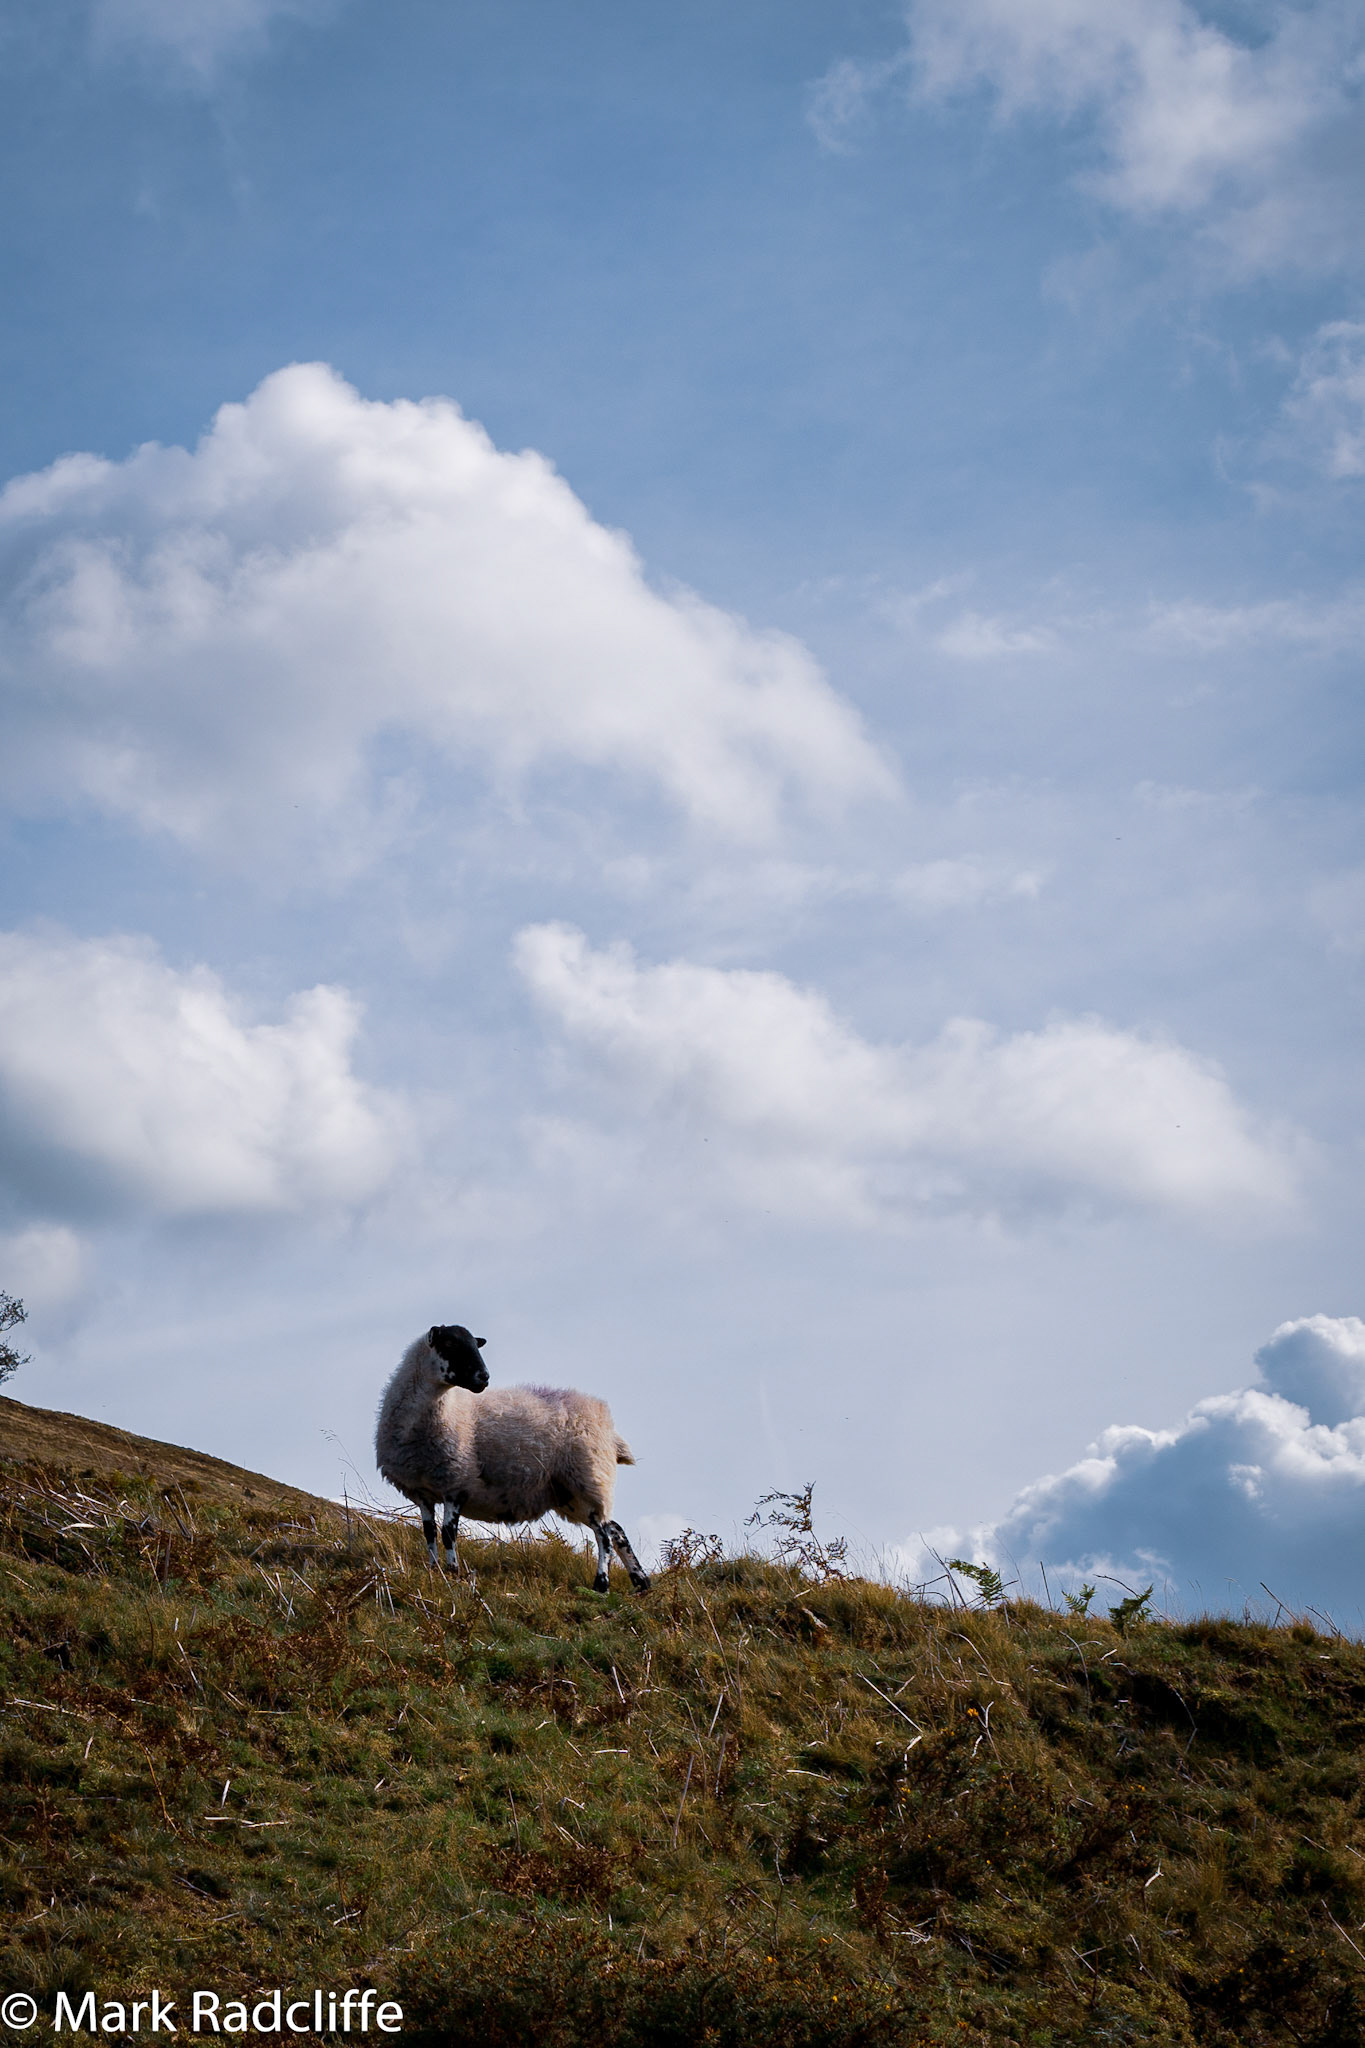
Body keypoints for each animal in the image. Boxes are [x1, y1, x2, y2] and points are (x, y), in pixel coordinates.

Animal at [375, 1323, 651, 1594]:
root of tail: (607, 1423)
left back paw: (601, 1584)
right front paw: (434, 1569)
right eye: (450, 1344)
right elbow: (429, 1532)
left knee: (603, 1533)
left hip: (589, 1478)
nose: (484, 1377)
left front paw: (452, 1571)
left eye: (476, 1345)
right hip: (569, 1493)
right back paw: (640, 1581)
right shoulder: (421, 1491)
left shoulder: (456, 1482)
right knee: (614, 1528)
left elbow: (448, 1533)